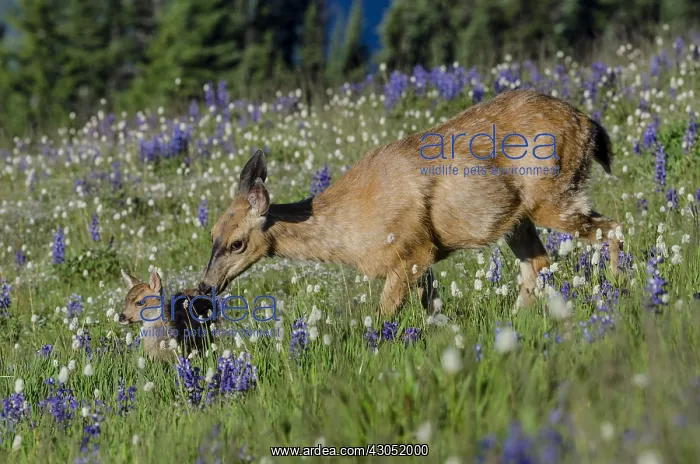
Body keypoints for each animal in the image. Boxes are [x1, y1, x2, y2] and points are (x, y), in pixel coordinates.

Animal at [197, 89, 623, 317]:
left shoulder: (410, 250)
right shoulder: (424, 256)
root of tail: (589, 124)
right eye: (212, 234)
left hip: (553, 195)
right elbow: (433, 310)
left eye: (237, 243)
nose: (205, 286)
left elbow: (383, 314)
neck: (349, 228)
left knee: (612, 229)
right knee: (538, 264)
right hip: (518, 220)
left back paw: (619, 288)